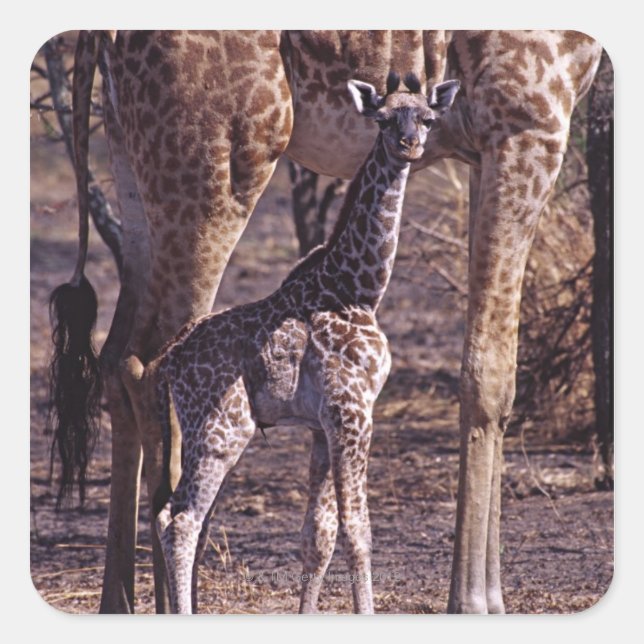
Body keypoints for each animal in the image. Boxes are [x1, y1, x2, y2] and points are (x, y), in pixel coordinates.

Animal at [49, 30, 603, 613]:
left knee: (116, 360)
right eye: (385, 119)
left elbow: (322, 530)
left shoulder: (486, 146)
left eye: (429, 120)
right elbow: (486, 379)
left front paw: (491, 596)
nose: (409, 143)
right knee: (149, 379)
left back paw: (121, 601)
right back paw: (173, 600)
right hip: (220, 162)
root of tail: (101, 36)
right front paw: (473, 600)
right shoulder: (528, 123)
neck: (350, 286)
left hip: (129, 158)